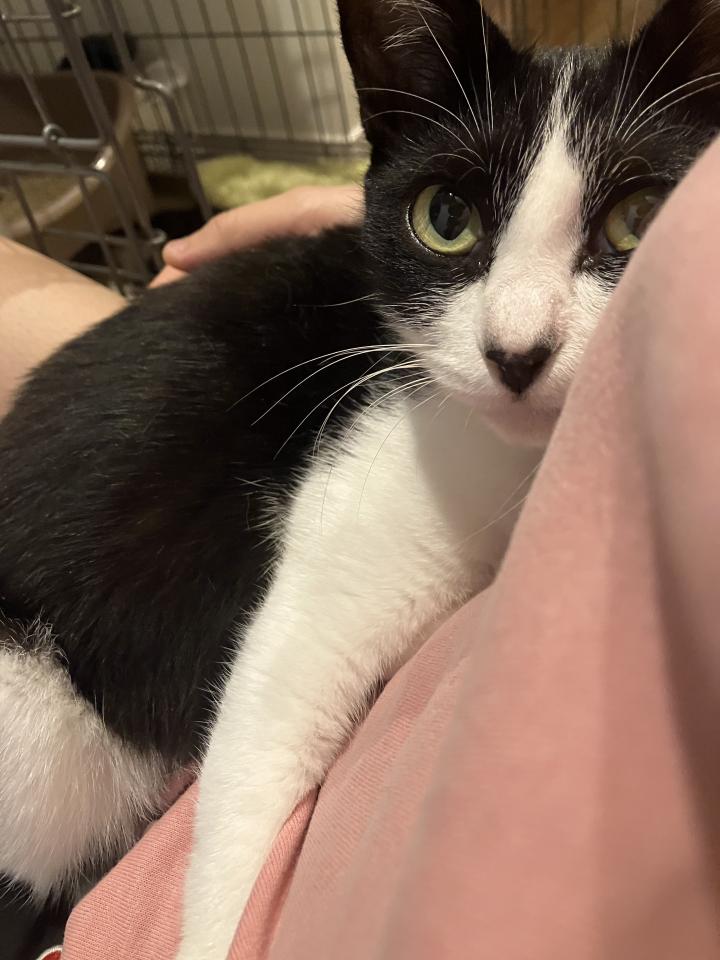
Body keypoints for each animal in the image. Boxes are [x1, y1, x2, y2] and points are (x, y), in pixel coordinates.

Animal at [0, 0, 718, 957]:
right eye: (445, 216)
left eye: (640, 219)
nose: (516, 352)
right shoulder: (370, 469)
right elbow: (273, 716)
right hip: (42, 734)